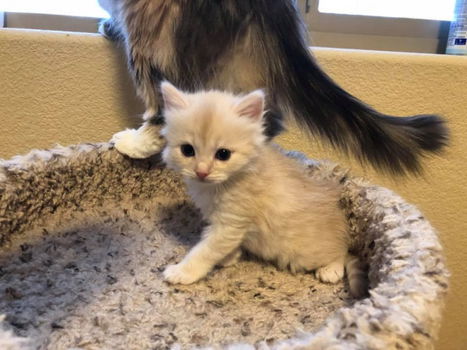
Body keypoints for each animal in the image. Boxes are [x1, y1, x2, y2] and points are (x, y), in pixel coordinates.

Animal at [161, 82, 370, 298]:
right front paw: (230, 257)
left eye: (223, 154)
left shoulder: (231, 222)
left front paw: (182, 272)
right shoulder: (229, 225)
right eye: (187, 150)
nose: (201, 172)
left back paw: (330, 269)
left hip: (305, 253)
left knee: (339, 254)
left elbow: (205, 251)